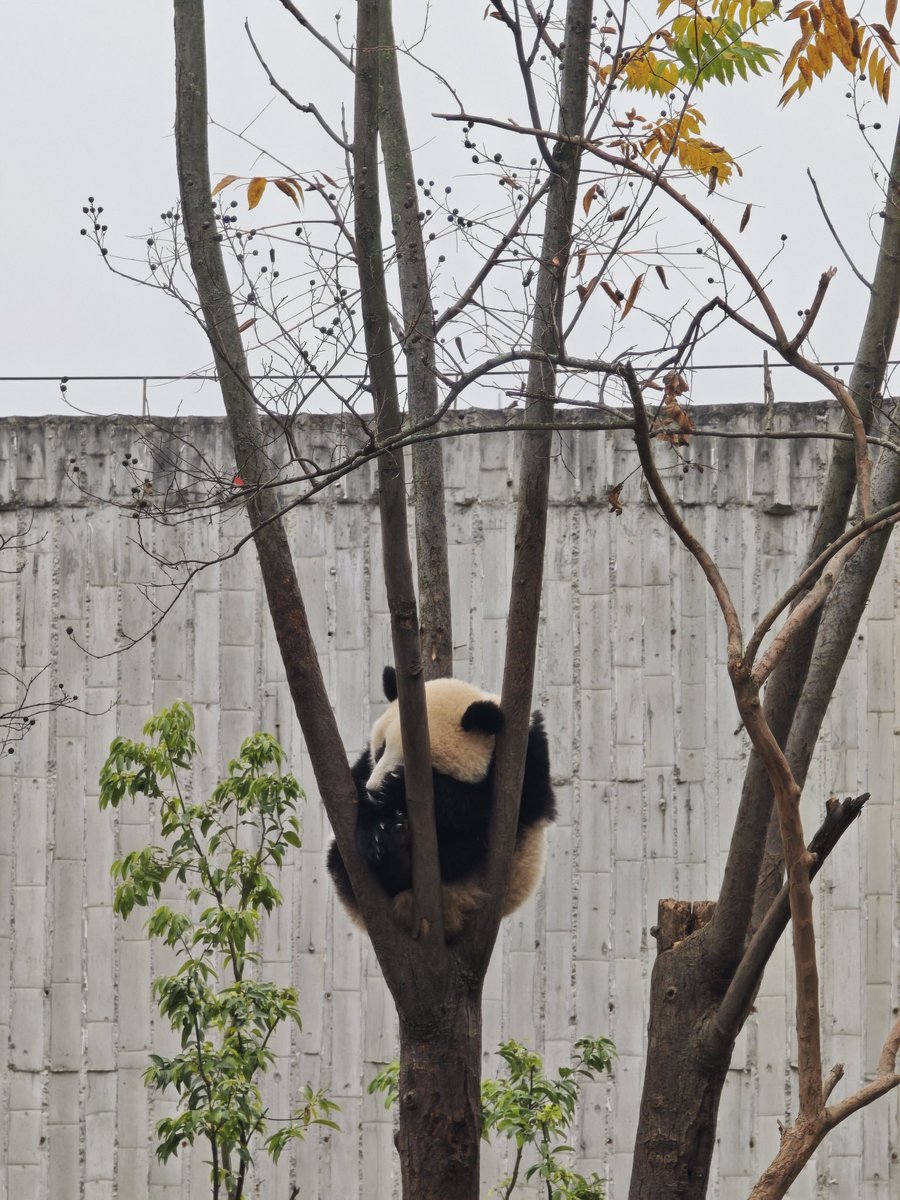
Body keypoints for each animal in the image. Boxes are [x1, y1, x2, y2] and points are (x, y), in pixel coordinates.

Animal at [326, 666, 556, 939]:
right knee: (337, 858)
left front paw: (396, 788)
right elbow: (358, 790)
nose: (374, 790)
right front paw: (378, 835)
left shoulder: (526, 757)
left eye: (420, 770)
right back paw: (395, 853)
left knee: (470, 845)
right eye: (381, 749)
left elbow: (496, 806)